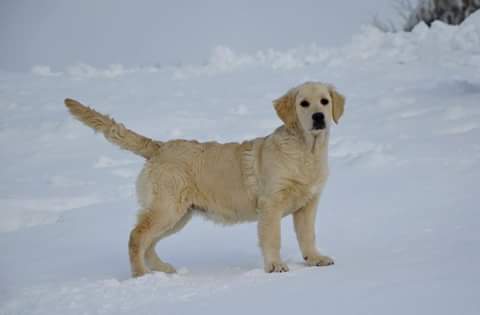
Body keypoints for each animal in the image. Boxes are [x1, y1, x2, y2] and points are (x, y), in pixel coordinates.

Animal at [65, 81, 344, 276]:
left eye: (324, 101)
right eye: (304, 104)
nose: (319, 117)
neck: (306, 151)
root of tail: (159, 147)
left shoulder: (308, 204)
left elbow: (308, 235)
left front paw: (315, 258)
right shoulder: (270, 204)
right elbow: (272, 238)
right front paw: (275, 266)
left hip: (178, 215)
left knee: (148, 242)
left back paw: (163, 270)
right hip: (167, 209)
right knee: (136, 237)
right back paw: (140, 275)